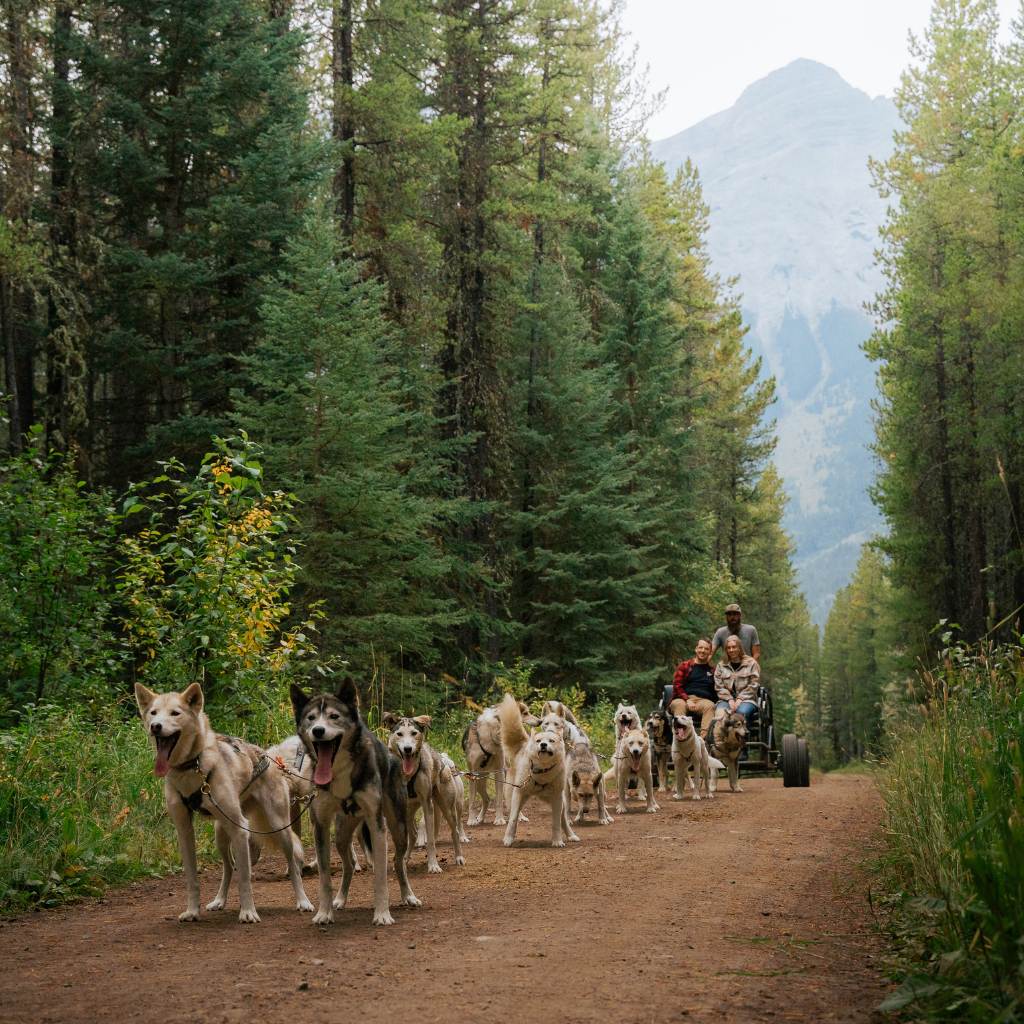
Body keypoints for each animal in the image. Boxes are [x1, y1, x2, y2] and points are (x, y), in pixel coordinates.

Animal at [136, 684, 311, 925]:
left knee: (292, 864)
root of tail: (270, 759)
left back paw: (303, 901)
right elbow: (193, 879)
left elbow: (245, 878)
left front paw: (248, 912)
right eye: (153, 713)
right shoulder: (184, 831)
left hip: (278, 828)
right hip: (221, 834)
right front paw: (193, 911)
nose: (155, 726)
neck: (193, 766)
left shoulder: (240, 830)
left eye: (175, 713)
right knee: (229, 868)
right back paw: (219, 900)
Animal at [288, 671, 419, 929]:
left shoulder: (378, 826)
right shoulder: (320, 826)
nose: (318, 730)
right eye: (310, 718)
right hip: (341, 834)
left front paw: (382, 914)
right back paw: (340, 899)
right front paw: (324, 913)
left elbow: (381, 877)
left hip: (398, 829)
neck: (338, 770)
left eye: (334, 716)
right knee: (348, 866)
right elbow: (324, 878)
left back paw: (408, 895)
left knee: (398, 864)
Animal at [382, 712, 466, 872]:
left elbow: (431, 841)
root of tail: (443, 760)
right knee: (413, 835)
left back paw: (459, 857)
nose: (408, 748)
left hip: (448, 808)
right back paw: (403, 859)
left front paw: (433, 865)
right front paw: (398, 860)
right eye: (399, 733)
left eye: (414, 733)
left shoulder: (428, 805)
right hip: (408, 812)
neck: (406, 775)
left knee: (455, 831)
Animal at [497, 696, 581, 847]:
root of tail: (524, 745)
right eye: (539, 740)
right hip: (514, 797)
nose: (543, 744)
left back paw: (571, 835)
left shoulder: (557, 799)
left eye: (551, 741)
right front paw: (508, 838)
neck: (542, 772)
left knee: (563, 821)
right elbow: (513, 819)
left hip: (561, 802)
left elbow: (556, 823)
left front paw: (557, 840)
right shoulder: (518, 794)